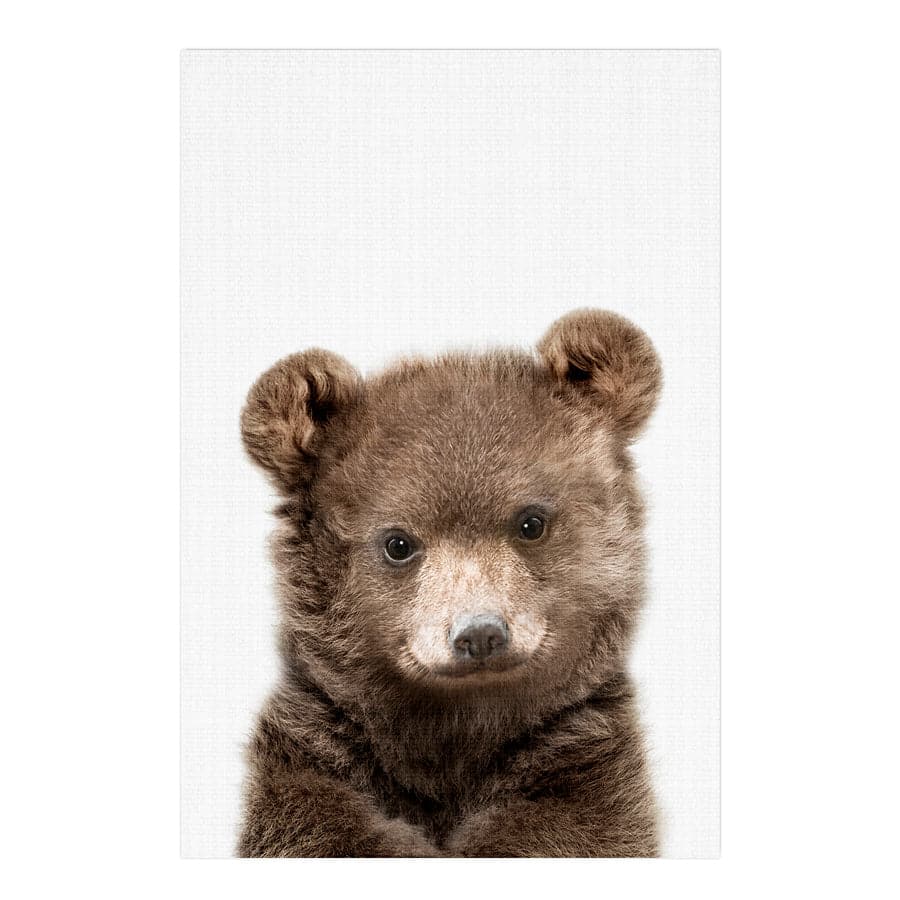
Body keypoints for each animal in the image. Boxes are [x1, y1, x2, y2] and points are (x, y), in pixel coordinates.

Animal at [236, 308, 662, 857]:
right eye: (398, 543)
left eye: (531, 522)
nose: (479, 633)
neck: (456, 732)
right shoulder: (317, 756)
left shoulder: (583, 764)